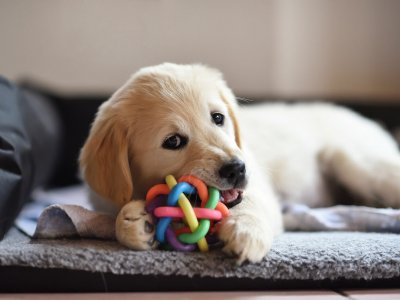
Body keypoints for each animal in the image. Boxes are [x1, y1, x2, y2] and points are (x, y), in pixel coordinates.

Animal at [79, 62, 400, 262]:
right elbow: (117, 218)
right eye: (173, 141)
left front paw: (246, 233)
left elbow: (250, 205)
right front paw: (134, 221)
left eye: (218, 117)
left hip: (353, 162)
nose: (236, 169)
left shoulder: (259, 188)